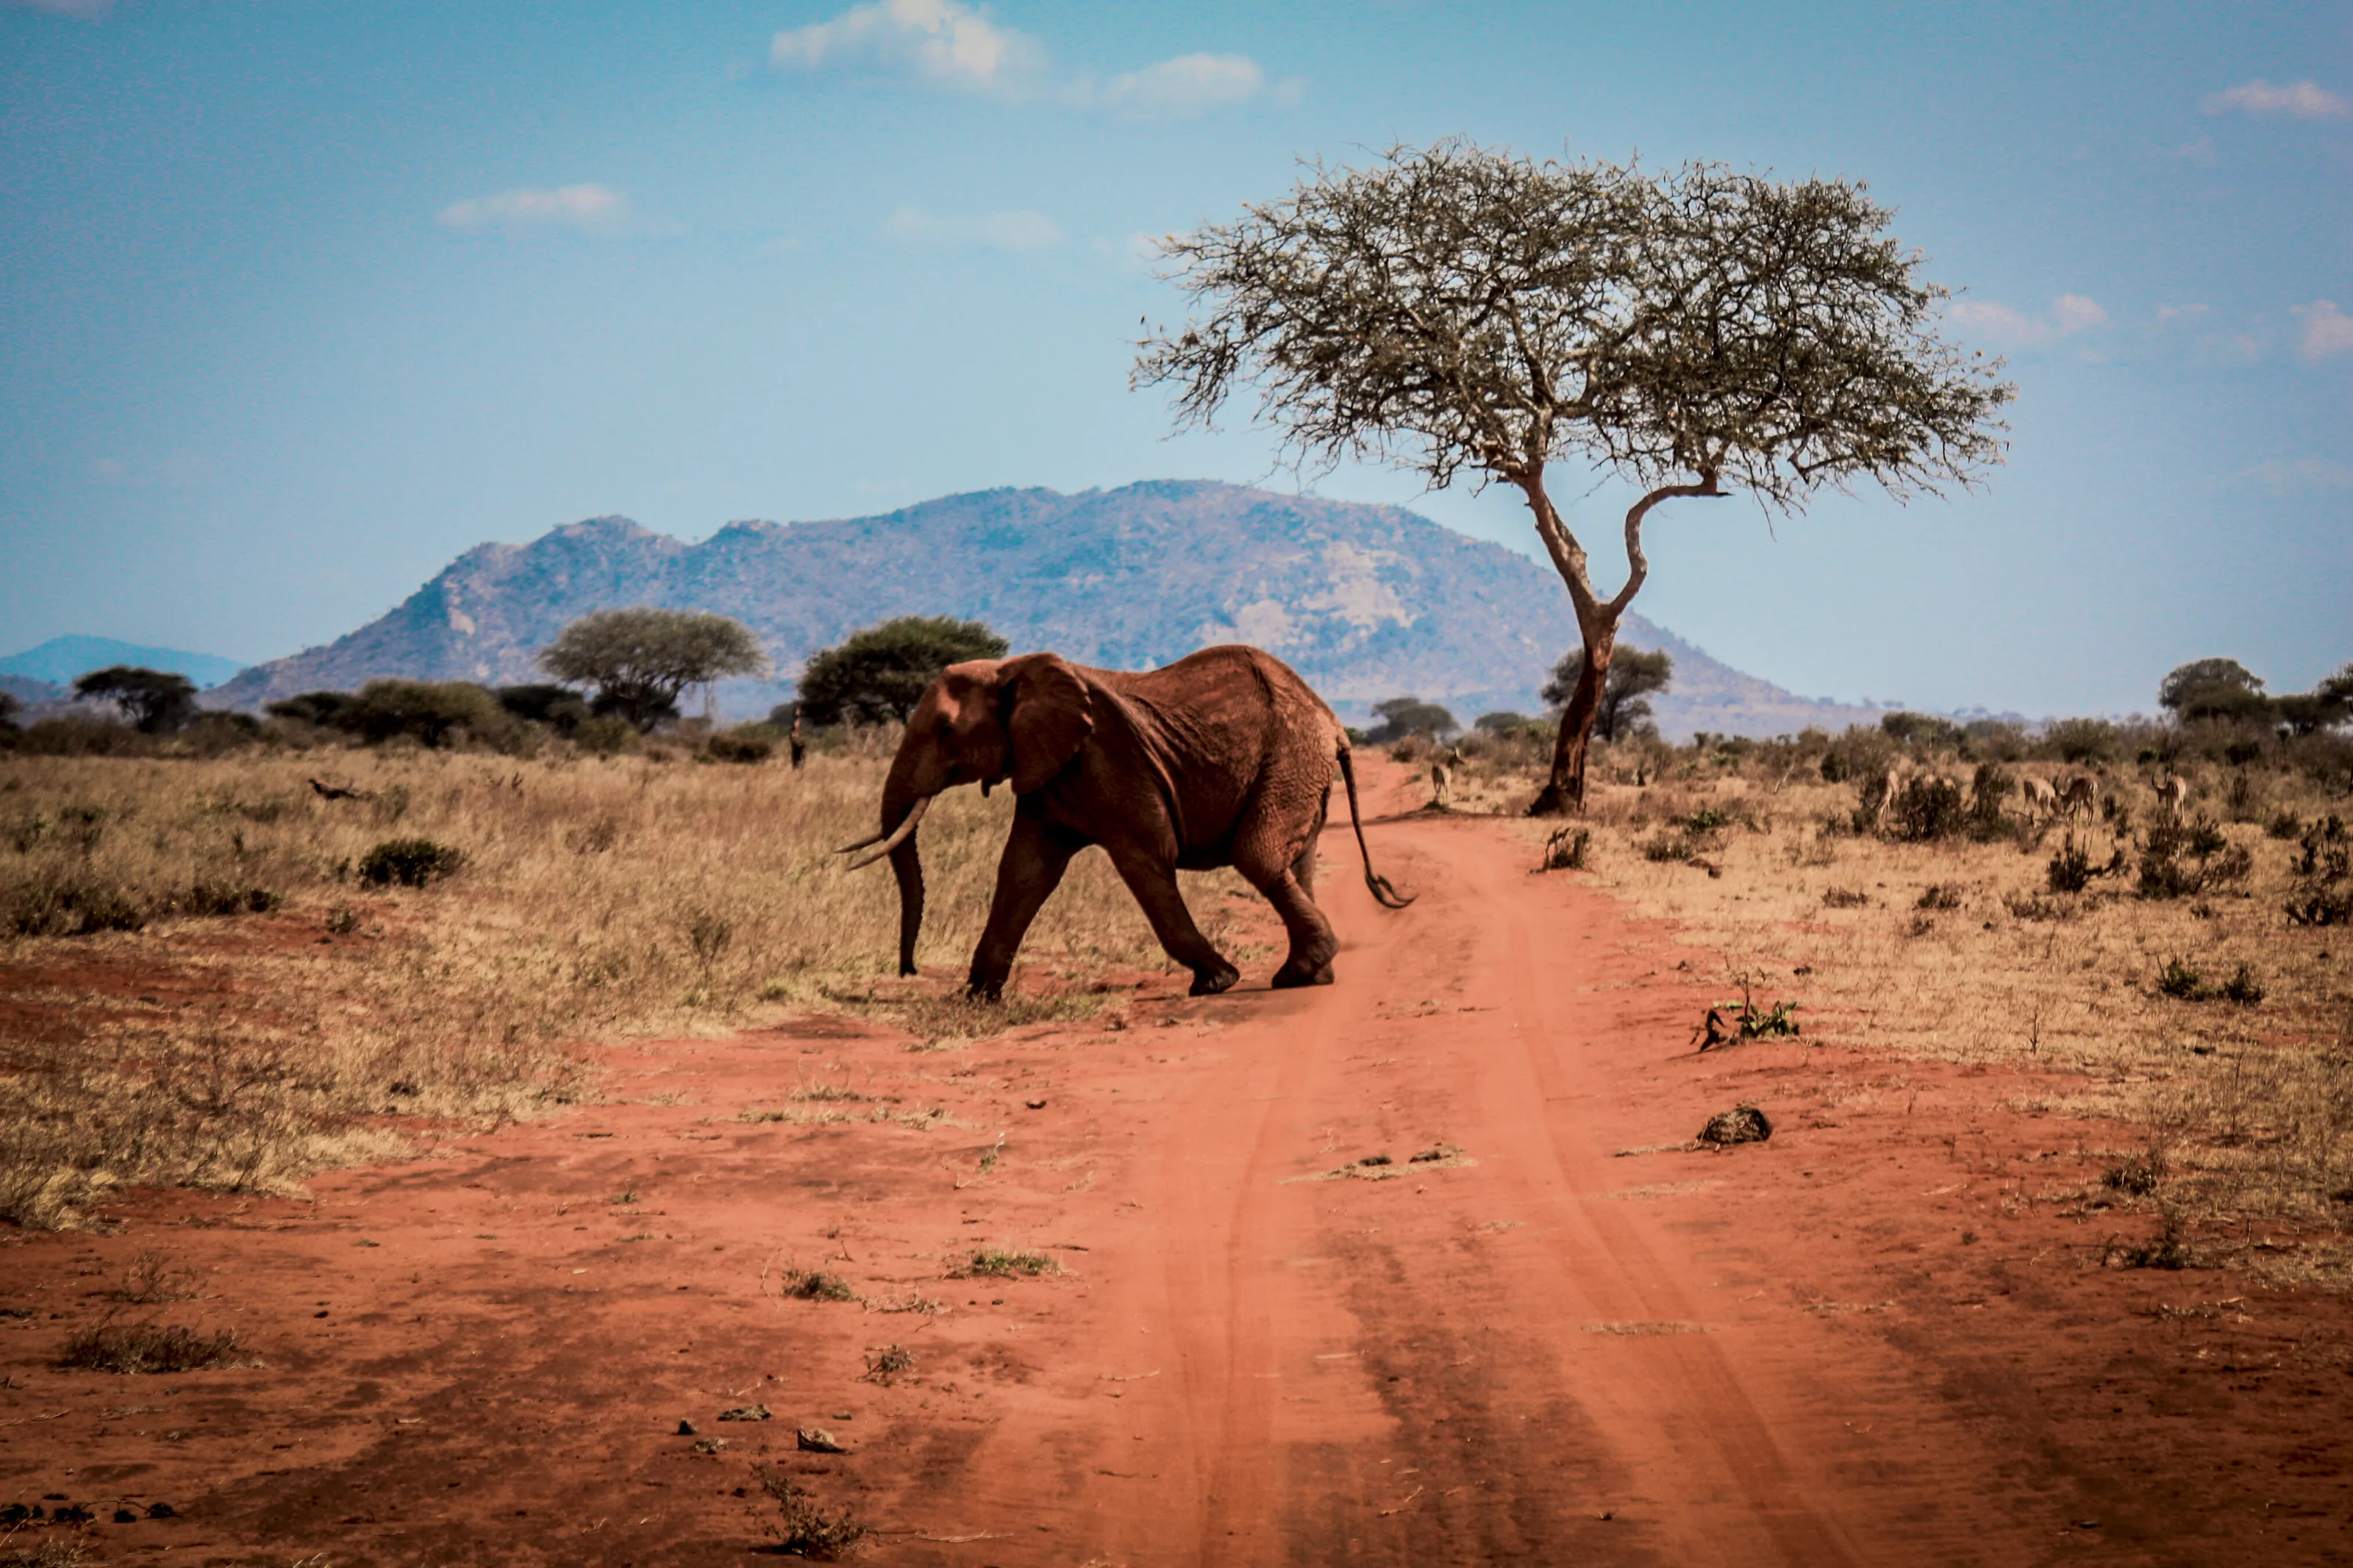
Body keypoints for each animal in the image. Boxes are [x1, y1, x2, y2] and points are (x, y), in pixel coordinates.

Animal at [836, 644, 1412, 999]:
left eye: (944, 730)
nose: (909, 970)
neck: (1012, 668)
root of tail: (1333, 723)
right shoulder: (1049, 766)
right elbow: (1025, 871)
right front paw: (976, 997)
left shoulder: (1111, 758)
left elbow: (1146, 858)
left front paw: (1218, 981)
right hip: (1299, 768)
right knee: (1298, 861)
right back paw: (1309, 976)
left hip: (1289, 759)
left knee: (1259, 854)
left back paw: (1296, 973)